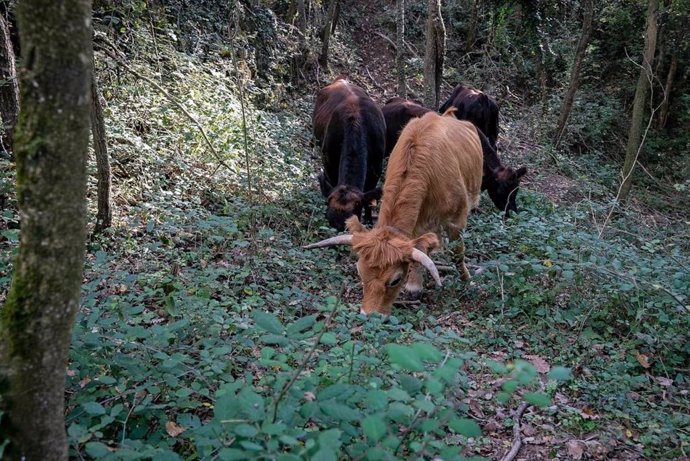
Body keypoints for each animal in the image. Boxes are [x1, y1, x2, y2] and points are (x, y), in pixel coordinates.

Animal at [304, 109, 482, 314]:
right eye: (360, 272)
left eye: (395, 280)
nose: (367, 315)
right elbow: (419, 248)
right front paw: (414, 285)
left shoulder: (456, 221)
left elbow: (457, 251)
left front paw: (466, 280)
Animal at [310, 77, 384, 234]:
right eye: (330, 221)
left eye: (356, 208)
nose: (338, 226)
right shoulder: (328, 161)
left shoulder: (377, 168)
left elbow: (370, 197)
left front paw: (369, 221)